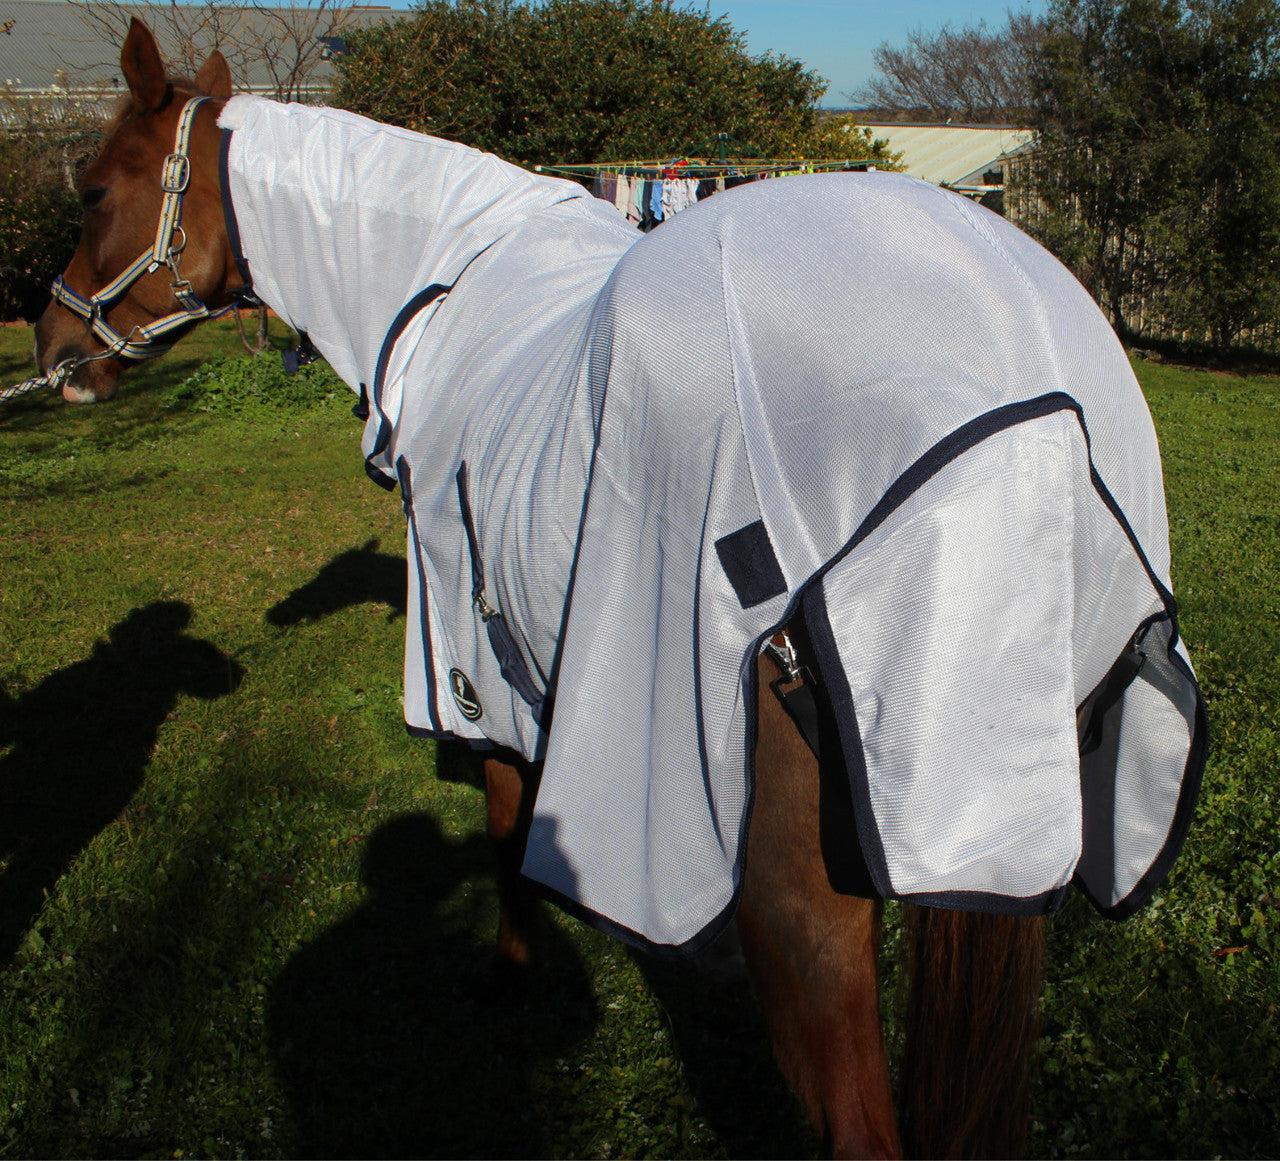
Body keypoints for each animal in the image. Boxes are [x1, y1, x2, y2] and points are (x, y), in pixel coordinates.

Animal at [33, 20, 1206, 1158]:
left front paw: (509, 977)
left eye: (91, 189)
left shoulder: (484, 667)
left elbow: (510, 834)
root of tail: (1026, 384)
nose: (53, 347)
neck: (447, 283)